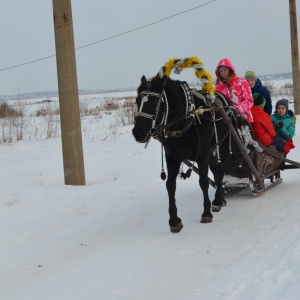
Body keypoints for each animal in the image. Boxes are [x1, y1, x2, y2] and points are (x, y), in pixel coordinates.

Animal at [132, 74, 240, 232]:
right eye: (137, 101)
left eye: (154, 102)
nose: (137, 133)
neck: (185, 122)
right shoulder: (172, 157)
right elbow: (170, 185)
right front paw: (174, 221)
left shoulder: (202, 154)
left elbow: (203, 182)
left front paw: (206, 213)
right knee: (218, 170)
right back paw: (219, 200)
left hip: (225, 141)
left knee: (221, 167)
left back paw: (217, 200)